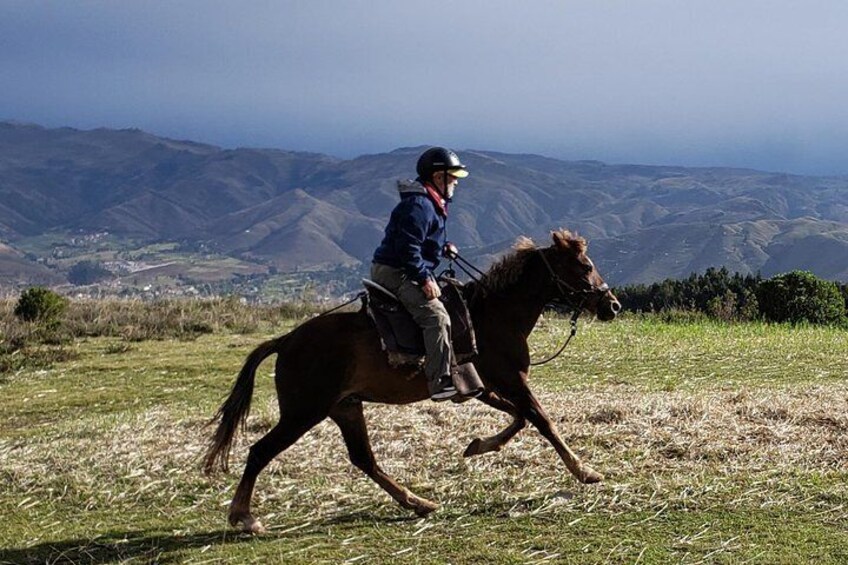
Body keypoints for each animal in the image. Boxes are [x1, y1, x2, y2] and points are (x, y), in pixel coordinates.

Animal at [202, 227, 620, 532]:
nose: (612, 305)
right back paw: (243, 517)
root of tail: (287, 340)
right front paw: (585, 471)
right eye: (584, 266)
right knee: (260, 451)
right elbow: (540, 419)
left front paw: (478, 446)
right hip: (304, 411)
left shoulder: (483, 387)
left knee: (364, 459)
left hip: (345, 407)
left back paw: (417, 502)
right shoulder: (509, 379)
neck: (495, 315)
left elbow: (518, 418)